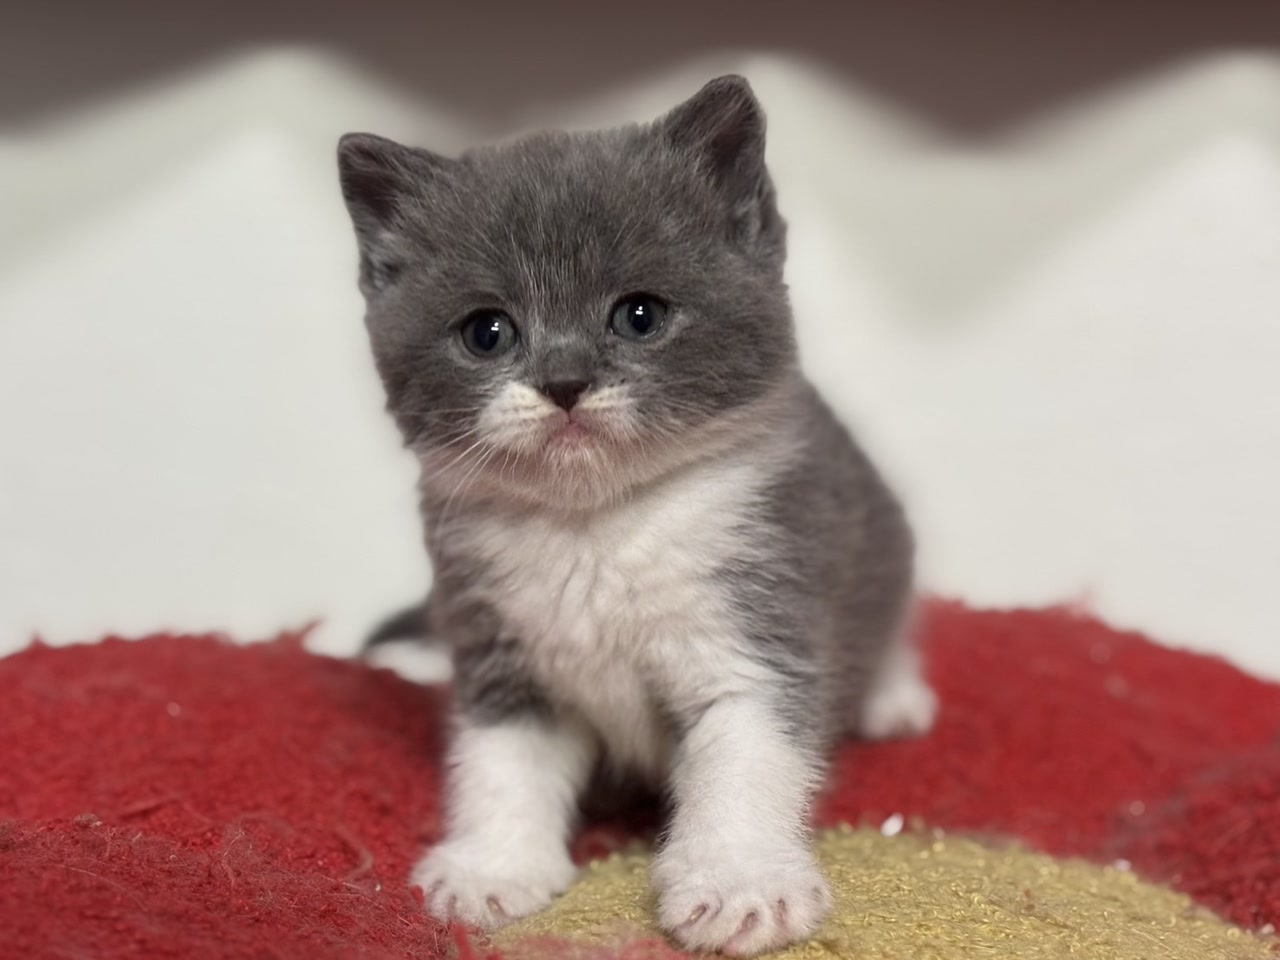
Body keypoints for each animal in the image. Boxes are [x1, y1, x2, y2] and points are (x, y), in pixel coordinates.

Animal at [336, 75, 937, 957]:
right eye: (487, 332)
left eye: (640, 315)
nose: (563, 381)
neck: (597, 525)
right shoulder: (498, 643)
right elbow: (500, 762)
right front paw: (494, 866)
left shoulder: (759, 608)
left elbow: (748, 754)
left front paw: (739, 881)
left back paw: (893, 694)